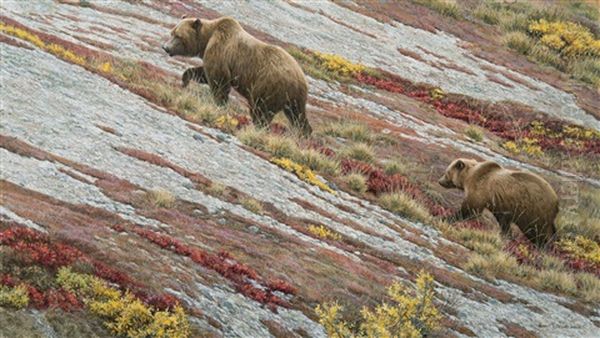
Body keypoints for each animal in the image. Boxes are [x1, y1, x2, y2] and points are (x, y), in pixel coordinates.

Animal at [164, 15, 314, 135]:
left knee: (261, 111)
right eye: (172, 32)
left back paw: (257, 128)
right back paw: (303, 135)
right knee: (297, 115)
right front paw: (185, 80)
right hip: (294, 97)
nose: (165, 47)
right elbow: (204, 74)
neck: (207, 39)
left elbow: (218, 81)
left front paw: (220, 104)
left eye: (178, 35)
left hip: (270, 86)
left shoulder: (220, 50)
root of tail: (301, 79)